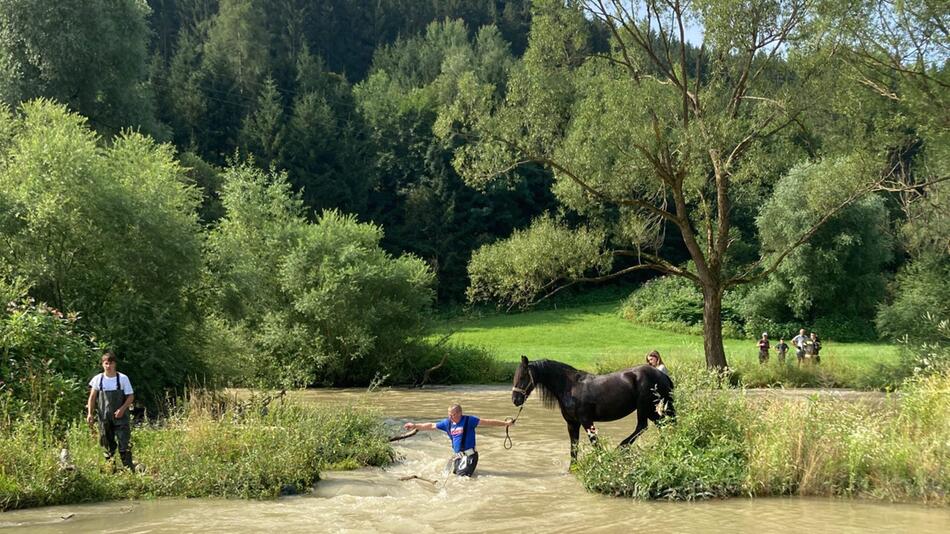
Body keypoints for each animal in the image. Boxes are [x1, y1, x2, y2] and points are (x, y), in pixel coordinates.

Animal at [512, 354, 676, 462]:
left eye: (523, 377)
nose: (515, 399)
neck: (570, 387)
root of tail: (662, 375)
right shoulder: (572, 424)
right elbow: (574, 448)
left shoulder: (586, 421)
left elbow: (595, 444)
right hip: (651, 409)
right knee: (662, 424)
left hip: (644, 407)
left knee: (642, 426)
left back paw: (621, 447)